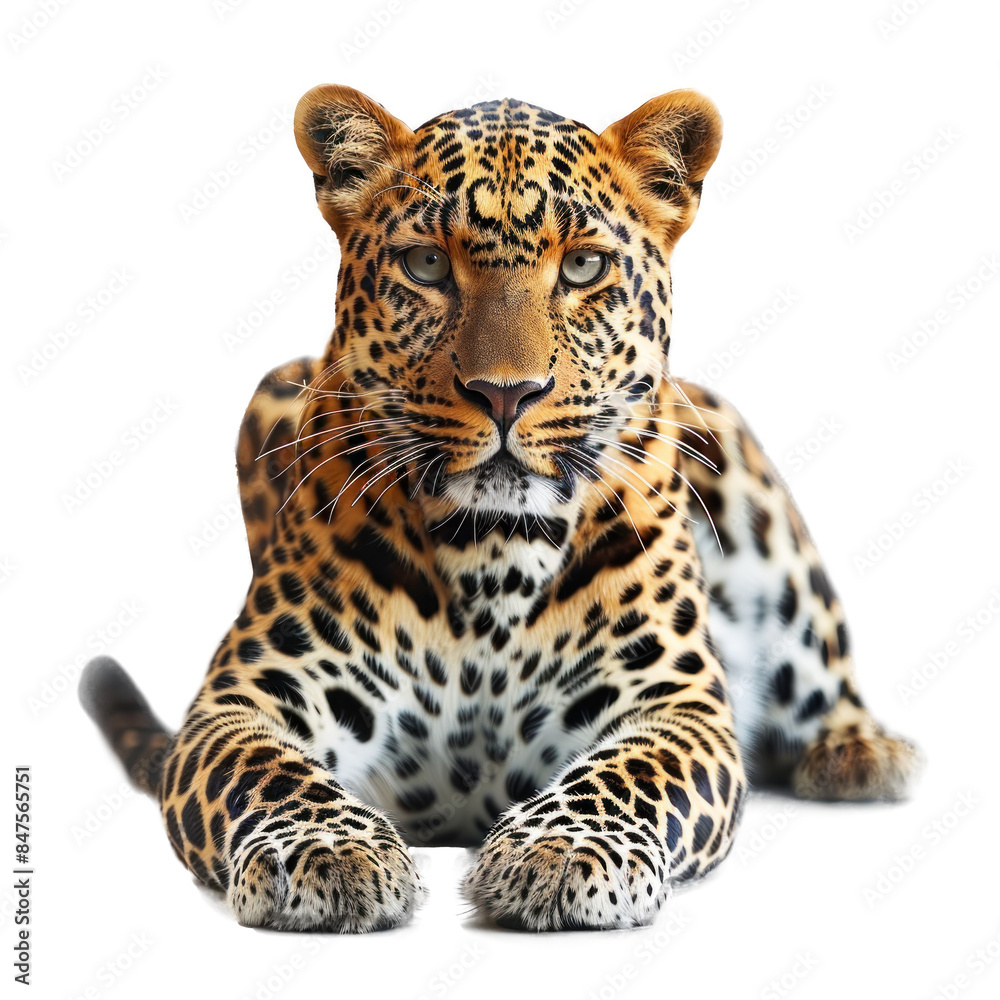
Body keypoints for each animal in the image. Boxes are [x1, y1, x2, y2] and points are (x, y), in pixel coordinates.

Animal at [80, 84, 921, 933]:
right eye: (425, 263)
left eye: (582, 265)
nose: (506, 394)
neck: (494, 552)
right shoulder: (242, 701)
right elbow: (265, 770)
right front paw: (323, 851)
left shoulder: (674, 706)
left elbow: (630, 772)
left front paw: (560, 851)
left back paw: (860, 754)